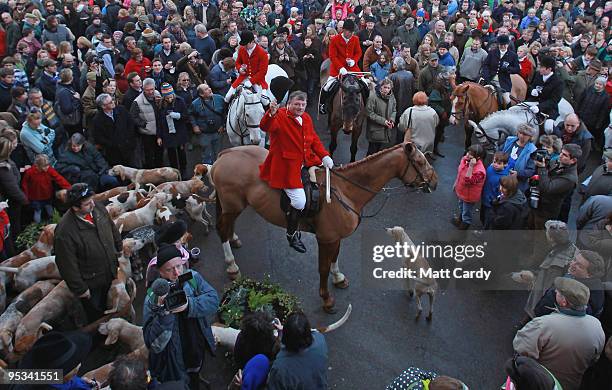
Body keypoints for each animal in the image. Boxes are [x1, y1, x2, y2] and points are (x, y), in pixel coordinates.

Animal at [213, 142, 438, 312]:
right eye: (419, 162)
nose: (434, 182)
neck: (346, 189)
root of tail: (226, 153)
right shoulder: (326, 238)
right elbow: (322, 268)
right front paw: (327, 299)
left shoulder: (335, 238)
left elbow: (335, 258)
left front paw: (338, 277)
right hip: (233, 206)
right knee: (222, 229)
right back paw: (231, 265)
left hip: (234, 206)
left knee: (228, 225)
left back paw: (233, 239)